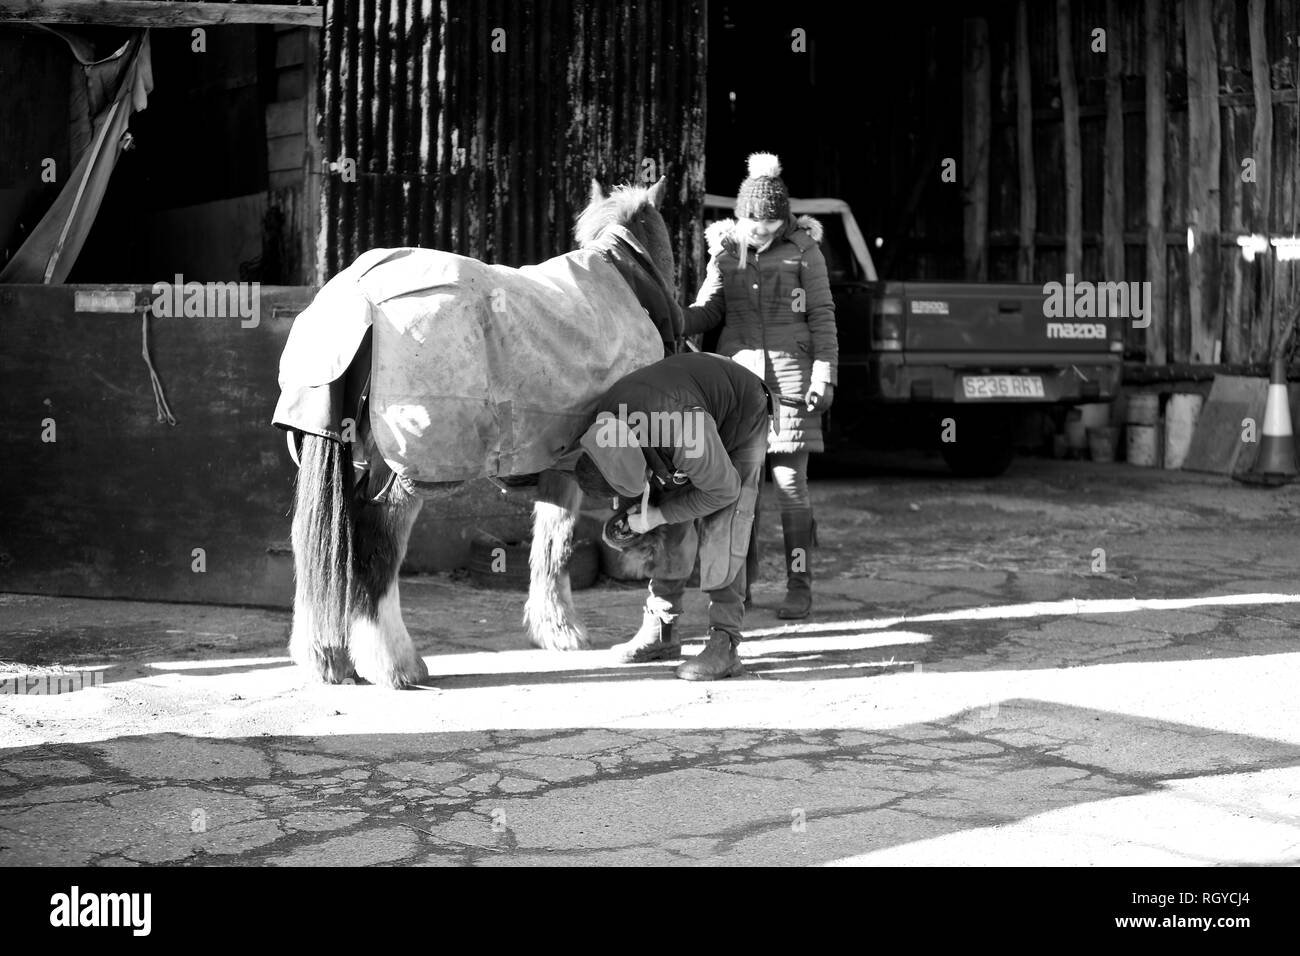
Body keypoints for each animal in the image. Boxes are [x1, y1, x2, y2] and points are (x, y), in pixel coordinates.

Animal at [274, 178, 681, 686]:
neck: (625, 280)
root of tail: (357, 293)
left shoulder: (558, 462)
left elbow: (550, 542)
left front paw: (552, 628)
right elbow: (565, 542)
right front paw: (565, 630)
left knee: (320, 549)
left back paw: (326, 656)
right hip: (407, 470)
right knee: (376, 545)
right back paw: (396, 664)